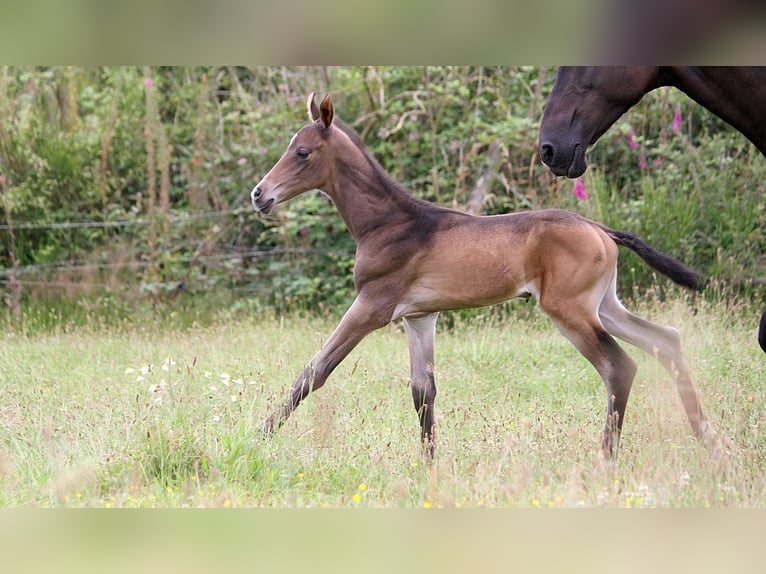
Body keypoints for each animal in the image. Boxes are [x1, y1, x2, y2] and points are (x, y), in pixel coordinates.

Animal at [252, 92, 720, 462]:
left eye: (302, 152)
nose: (260, 194)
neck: (386, 223)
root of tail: (600, 229)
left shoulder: (372, 306)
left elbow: (314, 371)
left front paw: (255, 436)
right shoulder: (419, 317)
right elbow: (423, 391)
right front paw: (430, 467)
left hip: (569, 309)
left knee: (619, 366)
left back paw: (608, 458)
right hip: (605, 305)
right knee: (666, 340)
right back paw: (709, 441)